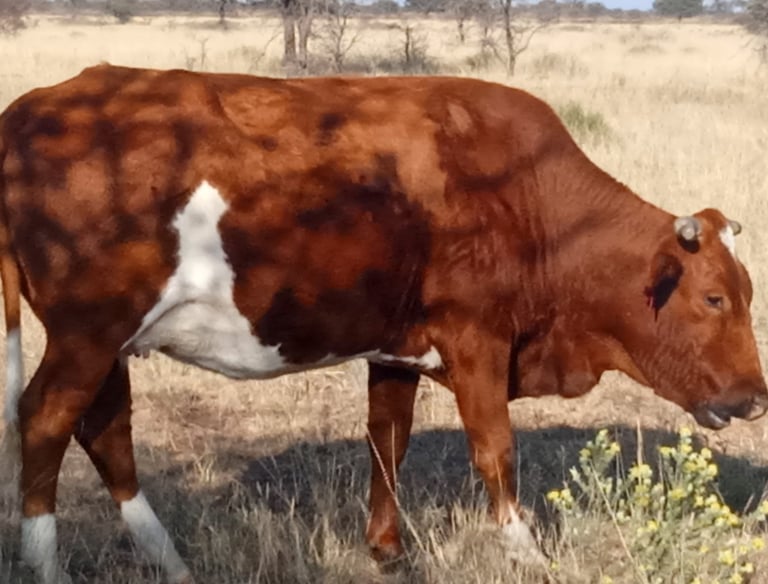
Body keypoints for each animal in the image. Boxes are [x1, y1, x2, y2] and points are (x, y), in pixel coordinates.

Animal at [0, 64, 766, 584]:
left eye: (744, 293)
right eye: (713, 299)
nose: (755, 398)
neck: (529, 195)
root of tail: (35, 108)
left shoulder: (396, 351)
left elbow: (387, 443)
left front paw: (388, 549)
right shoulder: (475, 340)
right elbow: (496, 450)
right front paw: (525, 550)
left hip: (107, 342)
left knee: (106, 431)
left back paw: (171, 561)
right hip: (88, 332)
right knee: (45, 419)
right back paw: (47, 566)